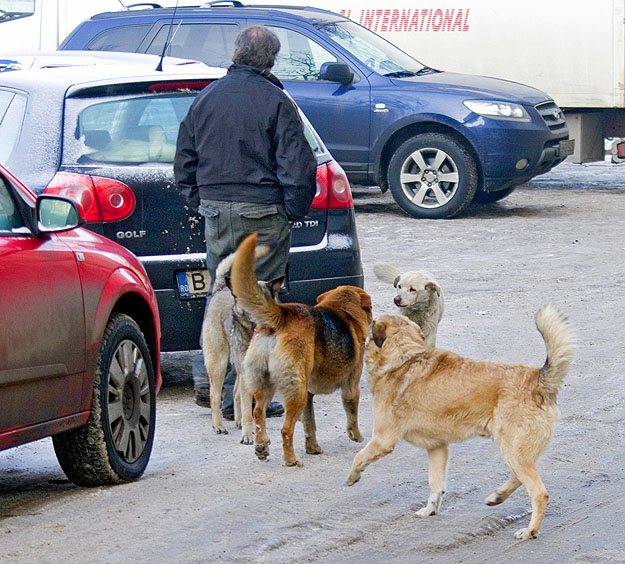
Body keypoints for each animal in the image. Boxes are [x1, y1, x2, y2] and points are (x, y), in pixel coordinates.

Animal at [229, 234, 370, 468]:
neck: (342, 311)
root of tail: (282, 315)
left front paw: (313, 448)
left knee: (258, 413)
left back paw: (261, 446)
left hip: (270, 385)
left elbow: (309, 425)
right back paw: (290, 459)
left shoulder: (310, 395)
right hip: (296, 391)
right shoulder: (351, 386)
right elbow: (352, 414)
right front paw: (356, 436)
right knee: (286, 429)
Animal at [346, 308, 576, 540]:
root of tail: (538, 380)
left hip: (513, 452)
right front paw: (429, 510)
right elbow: (435, 485)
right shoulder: (437, 448)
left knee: (539, 493)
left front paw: (352, 478)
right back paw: (498, 496)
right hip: (516, 453)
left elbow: (358, 458)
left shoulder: (382, 440)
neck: (403, 357)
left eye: (371, 323)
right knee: (519, 479)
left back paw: (530, 530)